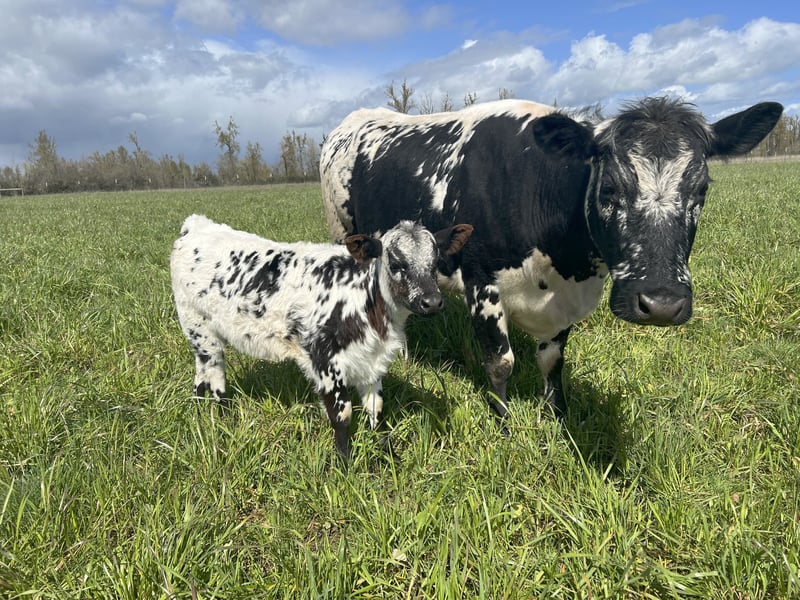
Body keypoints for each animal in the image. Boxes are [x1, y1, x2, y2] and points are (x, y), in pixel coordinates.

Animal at [170, 214, 472, 459]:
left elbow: (375, 408)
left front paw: (386, 454)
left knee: (201, 373)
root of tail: (196, 225)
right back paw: (223, 417)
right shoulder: (325, 361)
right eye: (397, 264)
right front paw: (345, 465)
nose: (432, 302)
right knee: (215, 374)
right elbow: (342, 415)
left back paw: (202, 410)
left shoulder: (372, 361)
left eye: (435, 263)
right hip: (198, 326)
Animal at [320, 97, 782, 423]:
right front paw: (504, 424)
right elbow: (501, 362)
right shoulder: (481, 281)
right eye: (609, 188)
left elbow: (553, 361)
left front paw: (555, 415)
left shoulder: (564, 301)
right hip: (345, 233)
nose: (662, 304)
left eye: (701, 190)